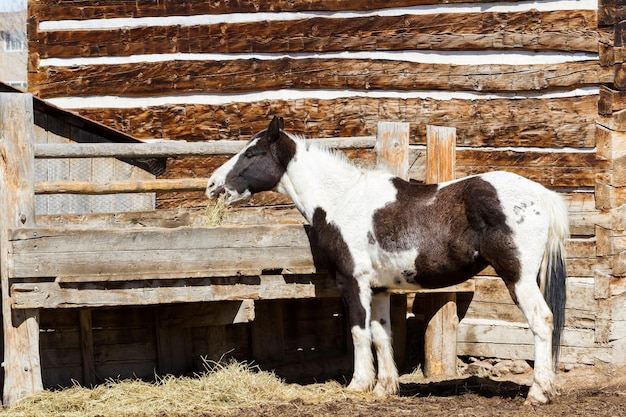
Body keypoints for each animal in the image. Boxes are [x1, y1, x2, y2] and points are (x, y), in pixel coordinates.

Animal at [207, 116, 568, 404]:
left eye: (252, 153)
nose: (212, 185)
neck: (342, 200)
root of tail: (542, 195)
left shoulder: (352, 281)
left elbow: (358, 331)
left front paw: (358, 384)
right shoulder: (379, 288)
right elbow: (381, 334)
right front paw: (384, 387)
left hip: (518, 277)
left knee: (542, 321)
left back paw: (538, 393)